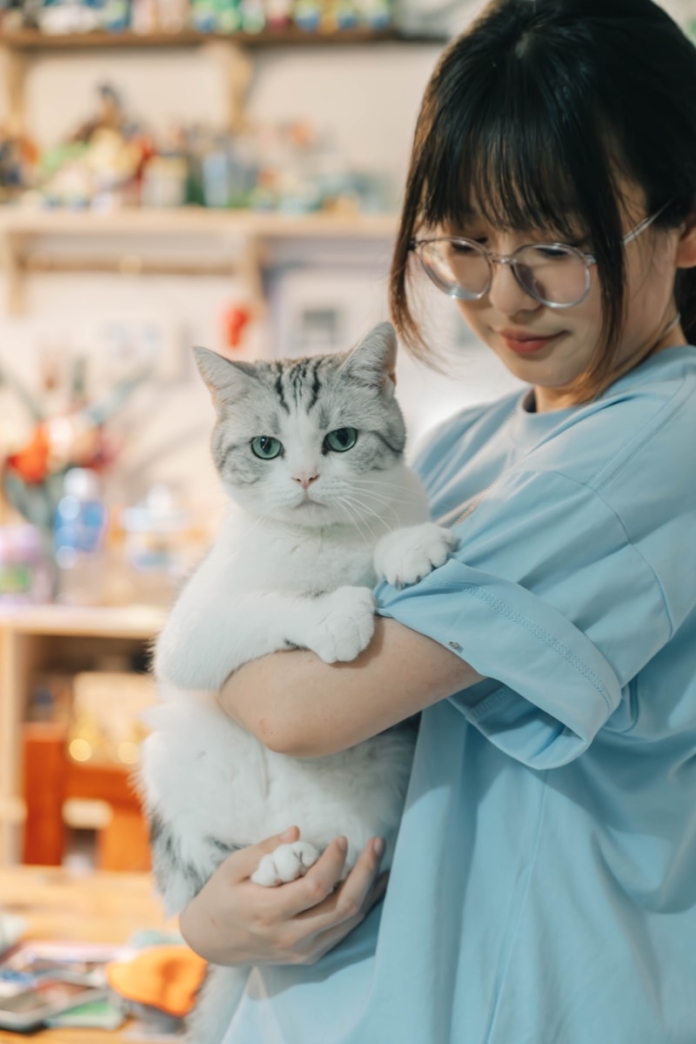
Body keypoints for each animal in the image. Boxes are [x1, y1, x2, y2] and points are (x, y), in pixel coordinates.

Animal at [139, 321, 459, 1039]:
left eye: (341, 439)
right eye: (267, 446)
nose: (307, 476)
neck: (323, 543)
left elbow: (384, 537)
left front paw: (409, 544)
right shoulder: (191, 632)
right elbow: (269, 606)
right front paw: (334, 614)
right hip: (173, 751)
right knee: (203, 857)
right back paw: (272, 860)